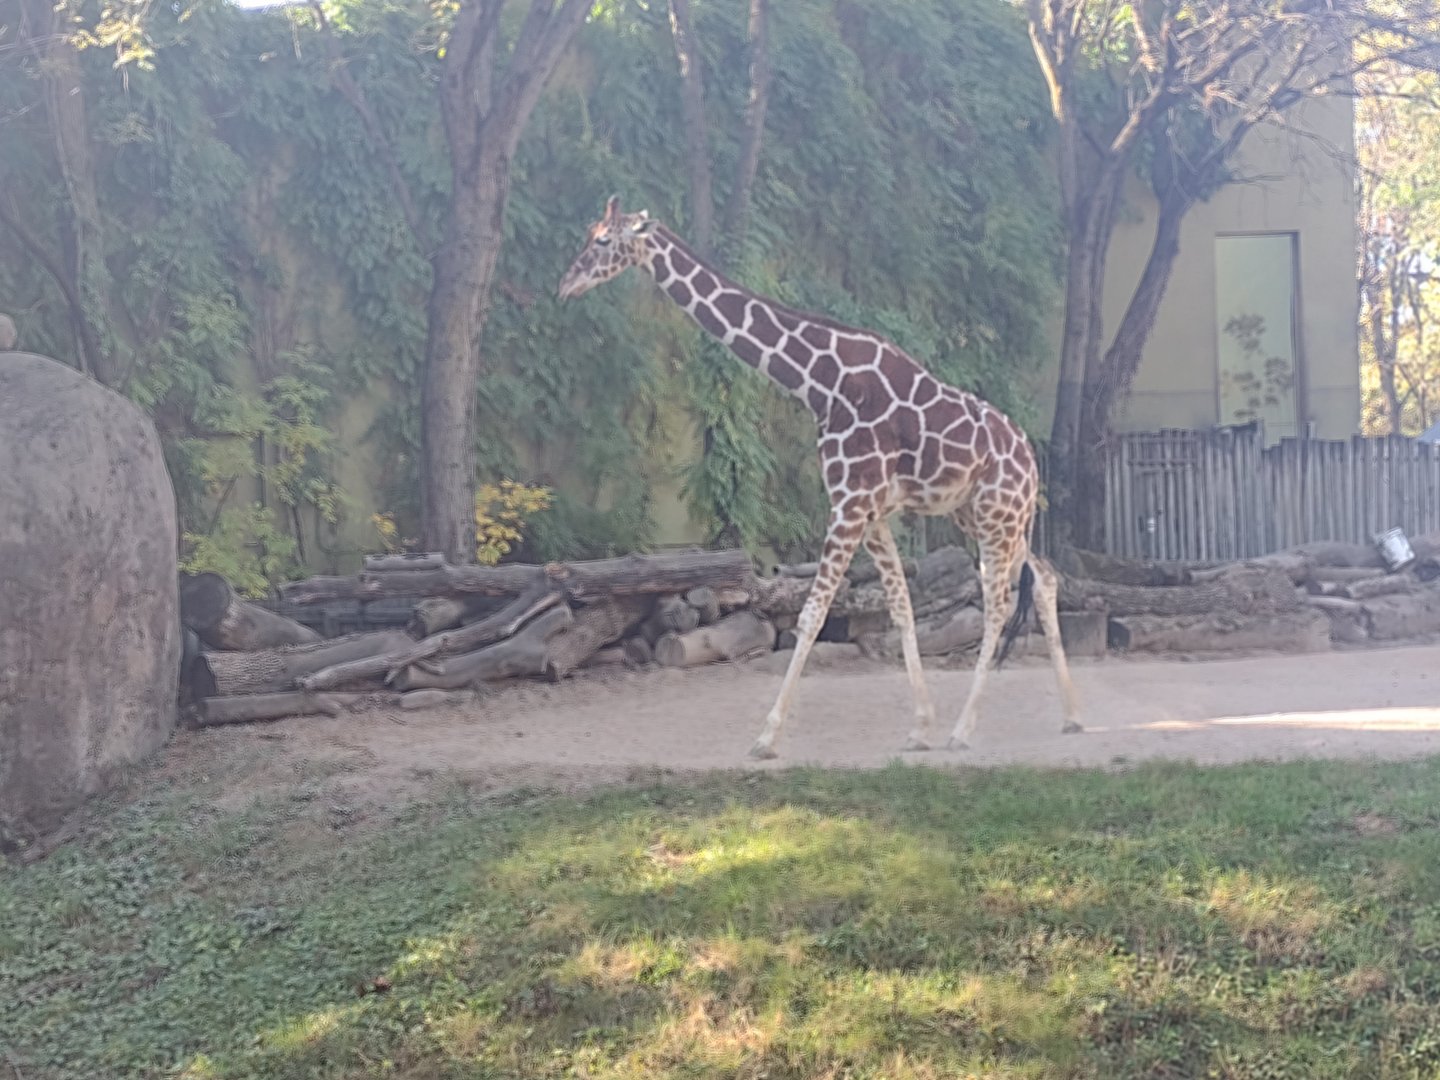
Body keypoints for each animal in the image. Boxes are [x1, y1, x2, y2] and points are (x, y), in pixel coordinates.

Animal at [558, 196, 1081, 758]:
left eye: (603, 240)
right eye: (589, 234)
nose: (566, 284)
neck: (819, 383)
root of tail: (1029, 457)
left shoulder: (849, 502)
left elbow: (813, 613)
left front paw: (766, 736)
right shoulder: (870, 511)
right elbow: (901, 607)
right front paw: (920, 727)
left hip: (994, 516)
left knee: (999, 603)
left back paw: (965, 731)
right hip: (990, 516)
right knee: (1045, 577)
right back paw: (1071, 716)